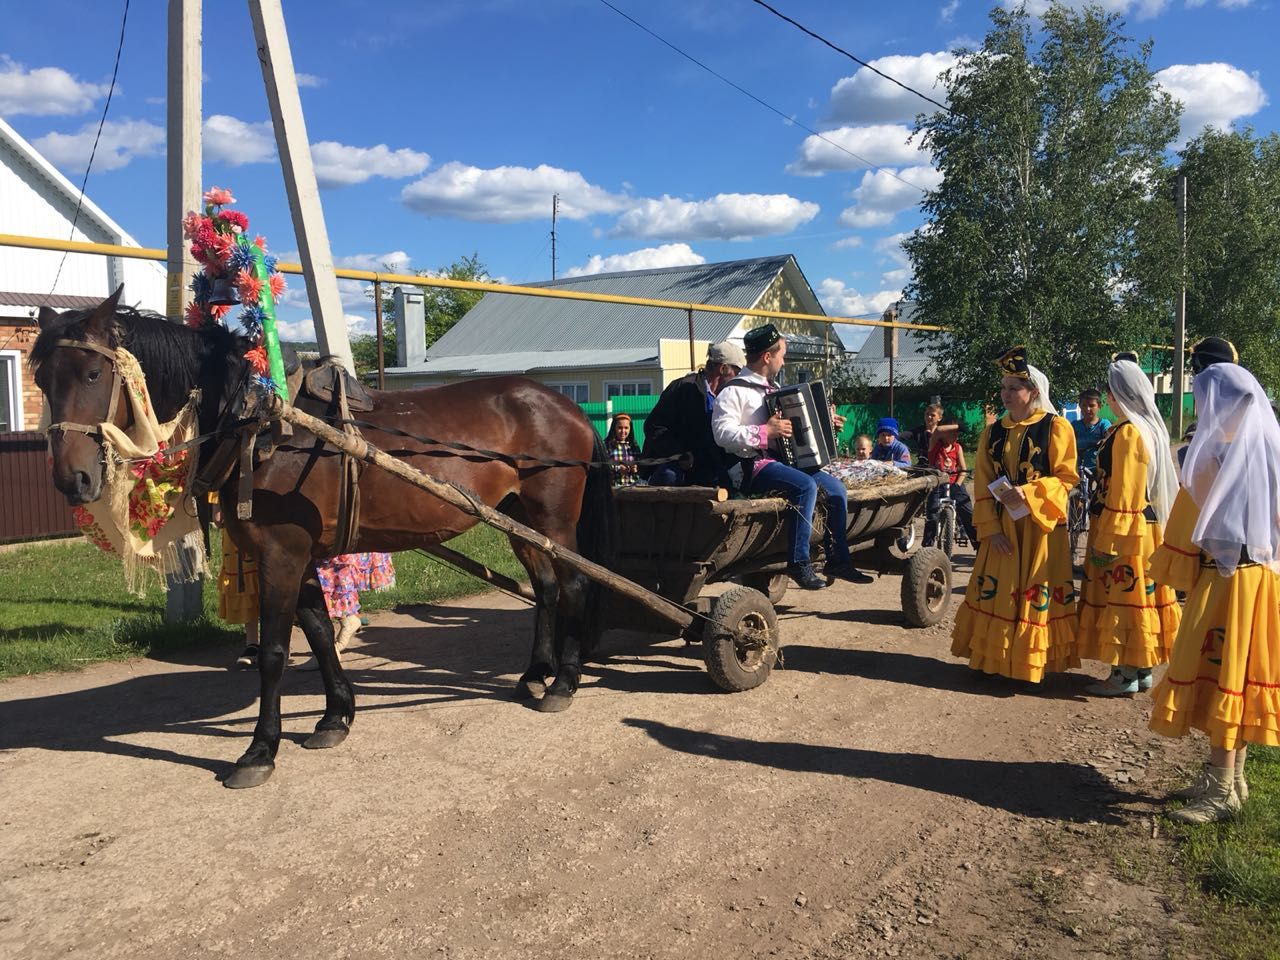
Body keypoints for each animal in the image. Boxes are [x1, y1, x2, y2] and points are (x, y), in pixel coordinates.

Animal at [33, 285, 614, 788]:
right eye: (42, 380)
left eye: (92, 373)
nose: (70, 479)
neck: (261, 426)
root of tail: (566, 405)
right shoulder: (297, 554)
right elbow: (315, 629)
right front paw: (336, 715)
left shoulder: (281, 552)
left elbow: (274, 652)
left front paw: (259, 749)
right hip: (519, 520)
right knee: (546, 588)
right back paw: (535, 672)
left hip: (553, 518)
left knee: (576, 586)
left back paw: (564, 681)